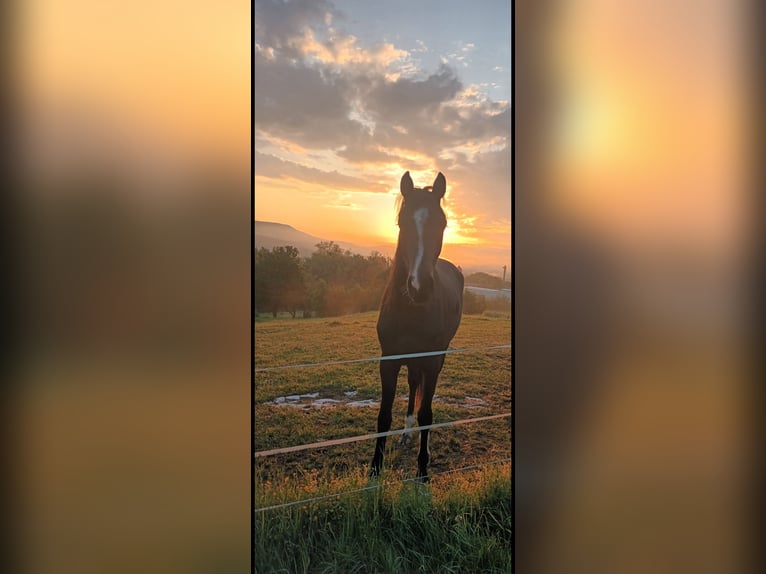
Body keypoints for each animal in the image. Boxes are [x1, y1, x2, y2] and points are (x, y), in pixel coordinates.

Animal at [370, 170, 464, 482]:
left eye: (443, 223)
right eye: (402, 222)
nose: (419, 287)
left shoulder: (432, 361)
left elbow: (427, 414)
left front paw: (423, 468)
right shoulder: (388, 360)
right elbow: (383, 416)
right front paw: (375, 469)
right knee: (413, 385)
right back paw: (406, 432)